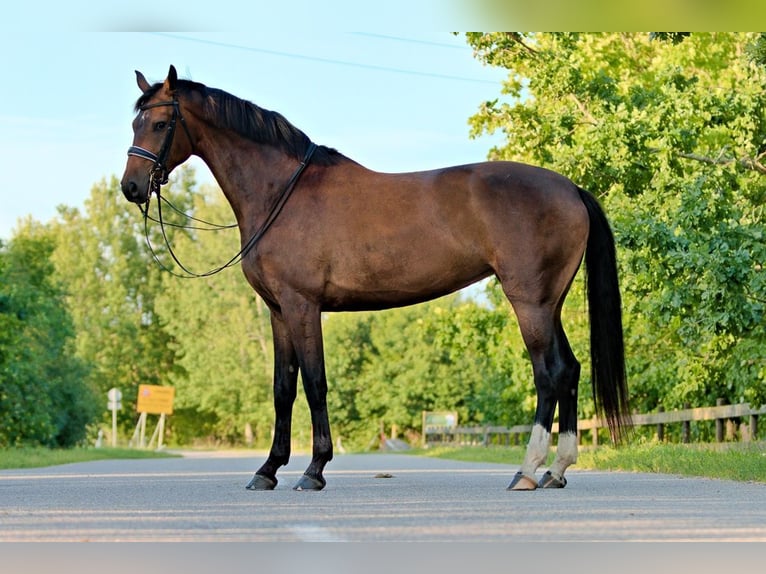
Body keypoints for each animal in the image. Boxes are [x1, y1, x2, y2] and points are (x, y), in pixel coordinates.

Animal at [123, 65, 632, 492]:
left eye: (162, 124)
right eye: (134, 124)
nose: (131, 187)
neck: (281, 193)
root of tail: (570, 188)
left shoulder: (303, 305)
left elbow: (315, 383)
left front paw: (313, 470)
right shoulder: (278, 311)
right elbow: (283, 389)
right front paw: (267, 470)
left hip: (528, 302)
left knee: (549, 374)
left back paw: (527, 470)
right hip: (550, 302)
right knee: (570, 371)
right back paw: (556, 470)